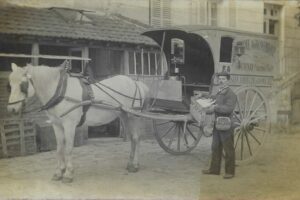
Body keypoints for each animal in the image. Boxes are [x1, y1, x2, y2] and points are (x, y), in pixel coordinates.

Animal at [7, 63, 150, 183]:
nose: (11, 109)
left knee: (136, 138)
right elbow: (59, 148)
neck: (60, 91)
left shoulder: (69, 125)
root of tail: (135, 82)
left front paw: (68, 174)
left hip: (133, 116)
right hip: (124, 116)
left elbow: (69, 148)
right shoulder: (57, 125)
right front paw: (58, 172)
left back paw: (135, 165)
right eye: (9, 85)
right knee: (132, 139)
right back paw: (130, 164)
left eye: (23, 85)